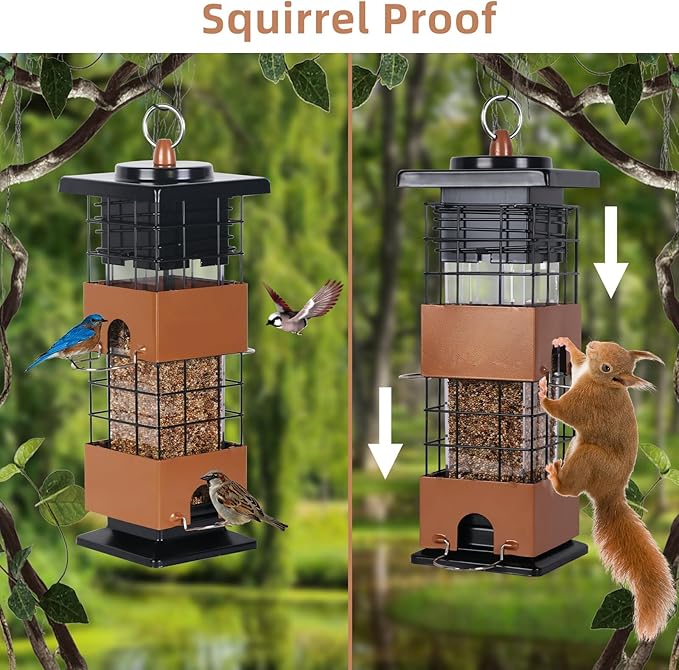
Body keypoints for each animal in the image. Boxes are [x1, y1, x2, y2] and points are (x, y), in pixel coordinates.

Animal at [538, 337, 675, 641]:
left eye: (607, 368)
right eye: (611, 345)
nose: (592, 344)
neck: (601, 383)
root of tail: (610, 494)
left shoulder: (586, 402)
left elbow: (563, 412)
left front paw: (542, 394)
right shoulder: (581, 372)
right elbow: (576, 362)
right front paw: (568, 345)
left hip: (587, 457)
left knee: (571, 490)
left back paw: (556, 477)